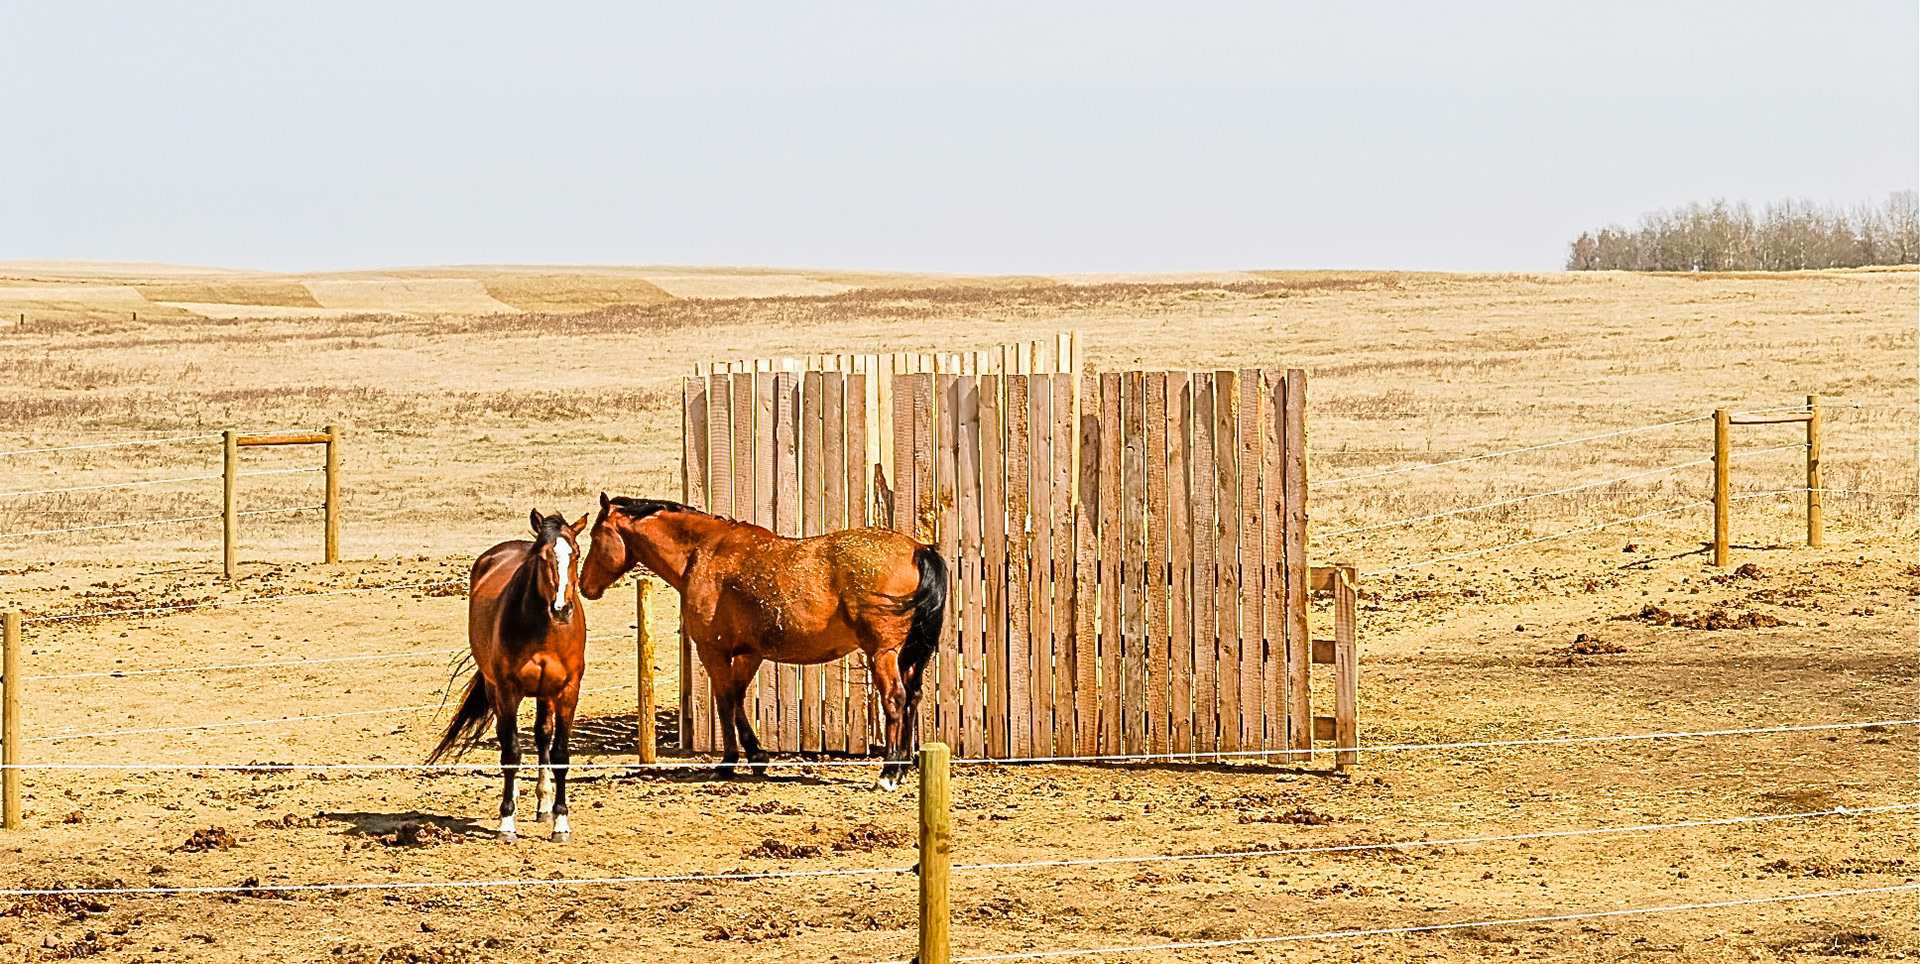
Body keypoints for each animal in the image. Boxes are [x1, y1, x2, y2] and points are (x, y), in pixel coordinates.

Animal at [428, 510, 589, 843]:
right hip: (496, 690)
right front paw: (506, 822)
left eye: (577, 554)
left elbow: (560, 753)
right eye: (542, 556)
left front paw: (560, 823)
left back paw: (544, 805)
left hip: (545, 693)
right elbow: (511, 751)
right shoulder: (506, 691)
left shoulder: (568, 691)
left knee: (542, 735)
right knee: (507, 739)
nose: (562, 609)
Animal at [578, 494, 946, 790]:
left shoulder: (713, 650)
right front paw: (757, 756)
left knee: (896, 699)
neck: (703, 553)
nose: (584, 586)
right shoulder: (749, 654)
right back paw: (903, 766)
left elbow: (725, 701)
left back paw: (889, 773)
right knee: (913, 697)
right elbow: (738, 699)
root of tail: (918, 550)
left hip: (883, 653)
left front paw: (728, 762)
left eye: (595, 536)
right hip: (908, 656)